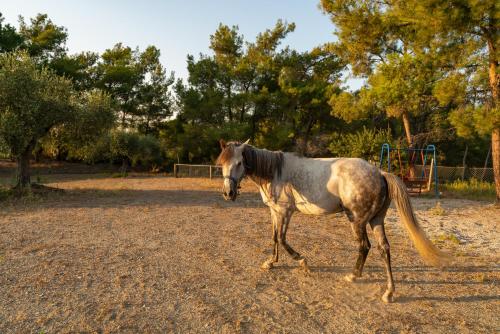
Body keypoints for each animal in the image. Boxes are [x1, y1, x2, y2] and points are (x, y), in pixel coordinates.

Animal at [215, 139, 450, 302]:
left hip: (357, 221)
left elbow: (282, 239)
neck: (275, 172)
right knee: (384, 249)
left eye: (239, 162)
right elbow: (274, 238)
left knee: (365, 246)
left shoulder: (285, 212)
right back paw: (389, 292)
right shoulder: (274, 212)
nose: (228, 193)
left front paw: (302, 261)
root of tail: (380, 173)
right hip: (376, 220)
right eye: (222, 164)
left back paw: (354, 276)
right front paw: (271, 262)